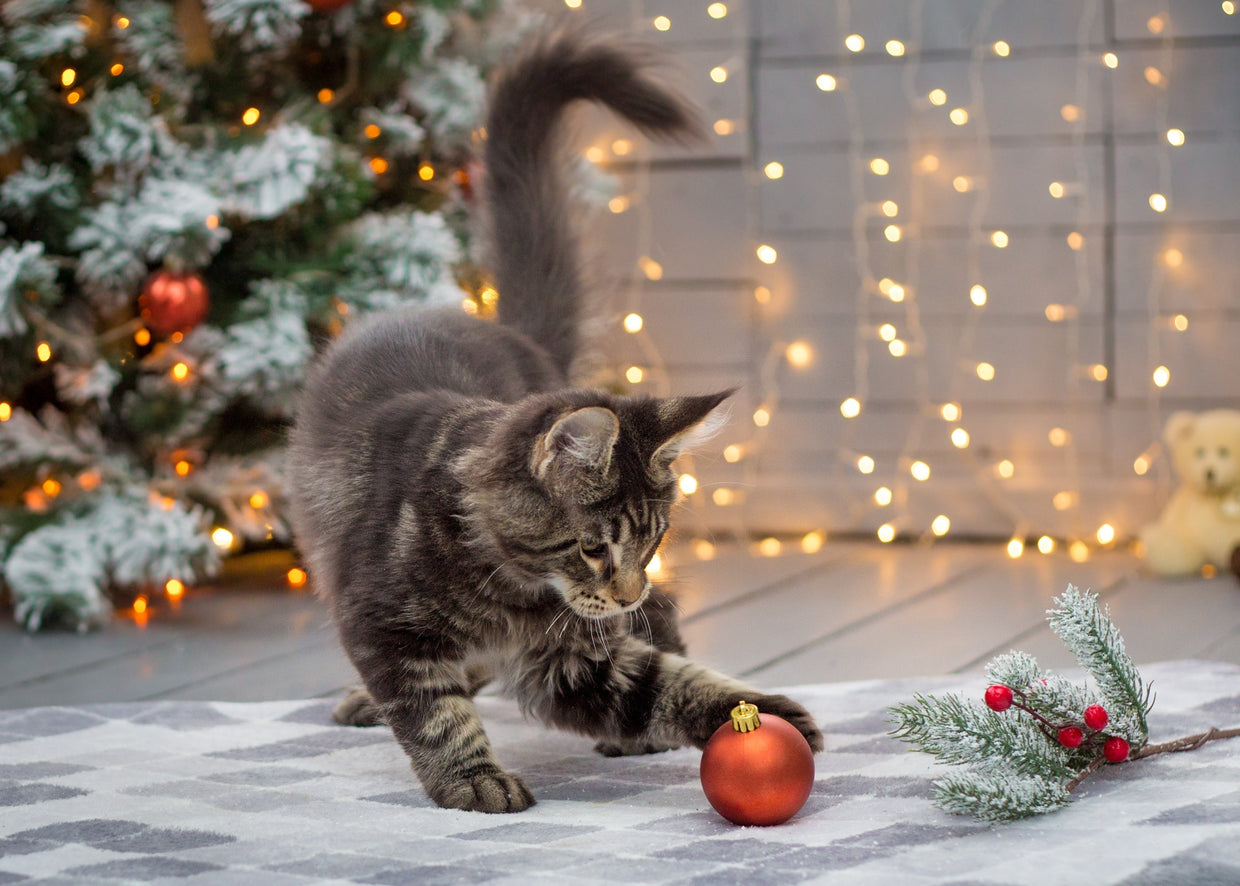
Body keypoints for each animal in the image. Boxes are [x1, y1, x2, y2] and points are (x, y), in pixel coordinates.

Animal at [288, 29, 823, 817]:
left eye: (653, 538)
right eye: (593, 548)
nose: (625, 590)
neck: (510, 591)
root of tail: (503, 329)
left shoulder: (572, 657)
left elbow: (665, 681)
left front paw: (757, 714)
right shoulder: (383, 627)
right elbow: (434, 712)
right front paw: (472, 779)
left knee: (665, 612)